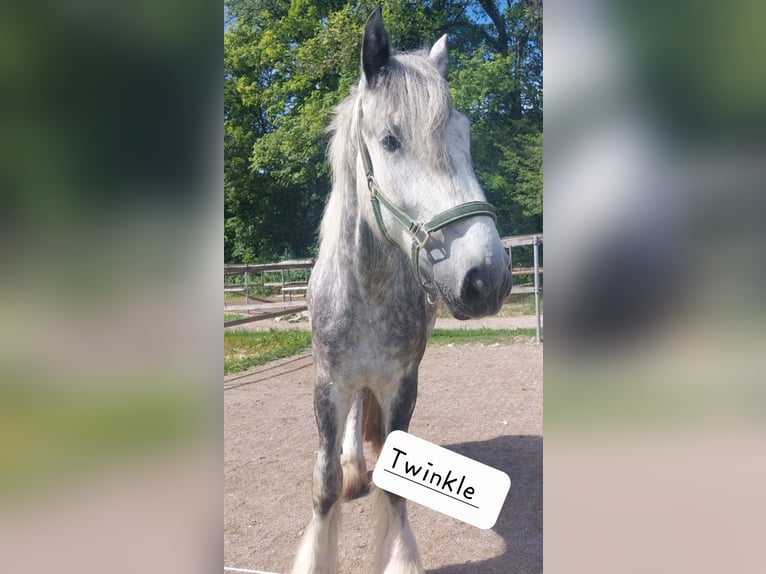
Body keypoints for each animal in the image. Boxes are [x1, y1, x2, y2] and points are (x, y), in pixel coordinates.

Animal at [294, 9, 516, 574]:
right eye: (391, 139)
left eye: (464, 135)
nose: (486, 276)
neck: (367, 291)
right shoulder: (327, 383)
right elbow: (324, 483)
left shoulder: (402, 382)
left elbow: (393, 489)